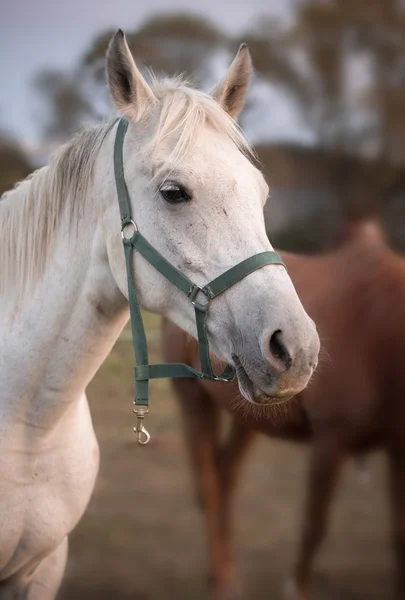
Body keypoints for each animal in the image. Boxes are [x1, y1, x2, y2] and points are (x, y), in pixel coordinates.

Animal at [163, 219, 404, 600]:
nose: (299, 356)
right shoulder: (331, 441)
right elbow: (315, 524)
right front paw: (296, 587)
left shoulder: (399, 449)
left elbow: (398, 534)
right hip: (192, 398)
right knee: (209, 486)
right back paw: (221, 580)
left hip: (248, 415)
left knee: (224, 475)